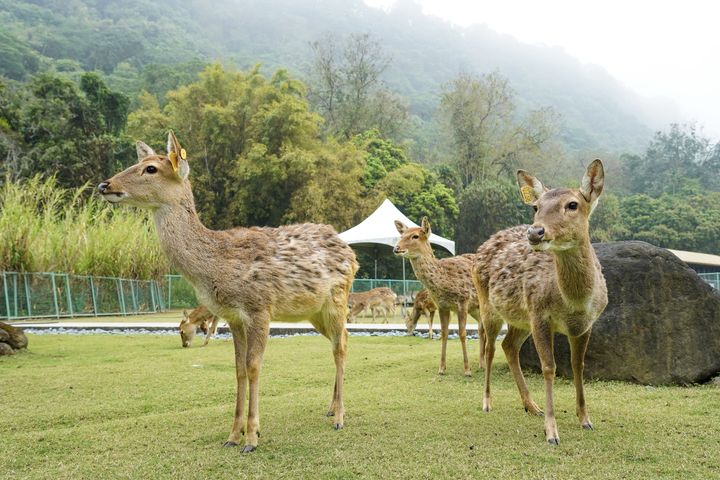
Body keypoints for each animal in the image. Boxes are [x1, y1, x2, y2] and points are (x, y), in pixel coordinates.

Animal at [98, 131, 358, 453]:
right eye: (138, 162)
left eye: (151, 168)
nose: (105, 185)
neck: (215, 266)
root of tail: (350, 252)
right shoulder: (233, 316)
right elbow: (238, 369)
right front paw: (233, 435)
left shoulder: (259, 307)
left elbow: (254, 366)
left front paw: (252, 437)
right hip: (313, 312)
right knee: (339, 339)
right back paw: (330, 408)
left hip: (337, 298)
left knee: (341, 345)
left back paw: (340, 417)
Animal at [393, 218, 486, 376]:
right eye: (401, 235)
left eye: (415, 236)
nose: (396, 248)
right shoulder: (442, 306)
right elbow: (444, 333)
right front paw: (441, 368)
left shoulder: (463, 301)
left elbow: (462, 333)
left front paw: (467, 370)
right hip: (475, 308)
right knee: (481, 328)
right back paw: (481, 363)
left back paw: (483, 363)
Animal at [471, 159, 608, 445]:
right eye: (536, 207)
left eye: (572, 204)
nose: (535, 231)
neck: (574, 302)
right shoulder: (540, 315)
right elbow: (549, 367)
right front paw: (552, 433)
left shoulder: (586, 325)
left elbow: (578, 366)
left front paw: (585, 419)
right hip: (488, 306)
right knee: (490, 348)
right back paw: (487, 402)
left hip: (521, 319)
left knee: (509, 345)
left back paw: (531, 406)